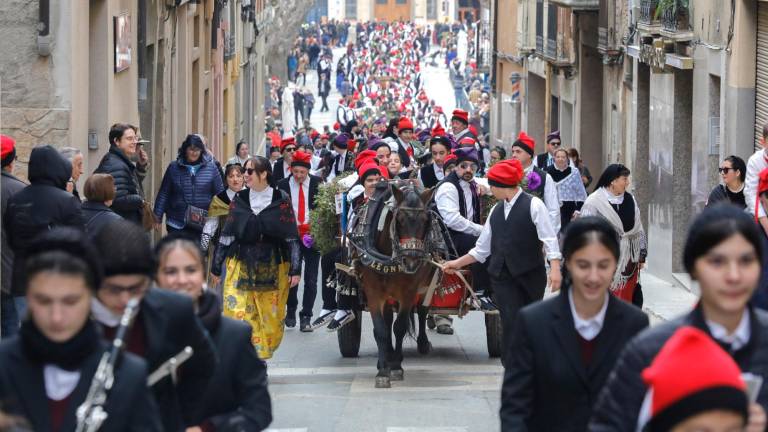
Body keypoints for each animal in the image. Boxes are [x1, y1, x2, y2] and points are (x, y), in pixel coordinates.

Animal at [356, 181, 438, 388]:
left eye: (425, 220)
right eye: (399, 219)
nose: (411, 261)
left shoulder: (408, 292)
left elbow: (399, 327)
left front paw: (395, 367)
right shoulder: (373, 292)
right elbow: (381, 330)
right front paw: (382, 370)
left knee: (422, 310)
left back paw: (420, 344)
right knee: (387, 319)